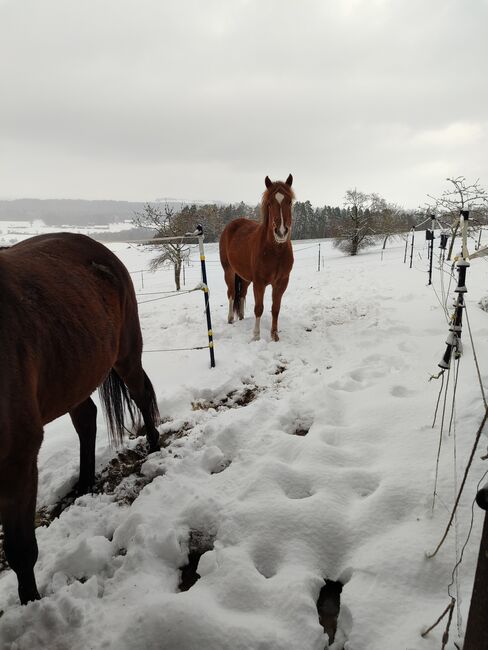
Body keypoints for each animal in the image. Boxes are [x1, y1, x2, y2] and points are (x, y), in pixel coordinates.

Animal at [0, 233, 161, 604]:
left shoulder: (19, 460)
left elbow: (21, 550)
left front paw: (32, 604)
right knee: (86, 418)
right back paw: (84, 483)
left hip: (126, 354)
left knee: (141, 396)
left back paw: (155, 446)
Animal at [220, 175, 294, 342]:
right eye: (269, 203)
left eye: (289, 201)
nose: (281, 232)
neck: (275, 252)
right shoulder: (259, 283)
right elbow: (259, 308)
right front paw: (256, 336)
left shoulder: (282, 282)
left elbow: (275, 308)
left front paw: (274, 335)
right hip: (229, 271)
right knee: (231, 293)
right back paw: (230, 318)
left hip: (245, 277)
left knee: (242, 294)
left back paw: (241, 316)